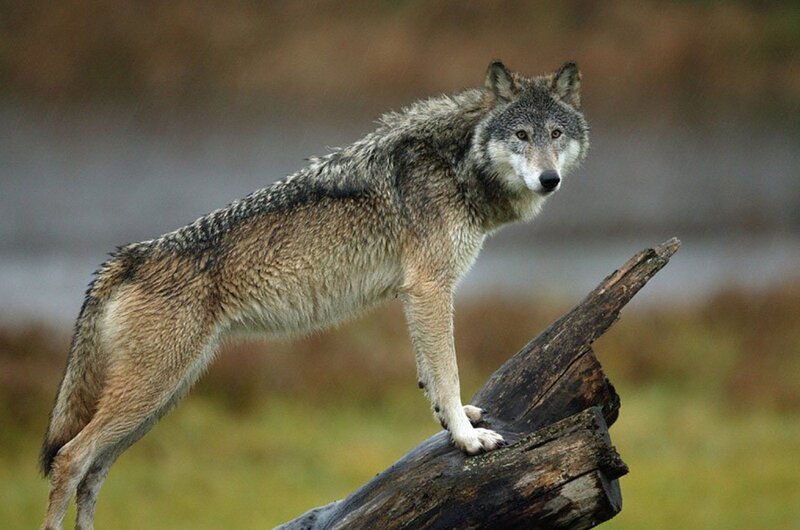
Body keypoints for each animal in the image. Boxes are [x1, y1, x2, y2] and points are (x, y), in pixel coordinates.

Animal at [40, 60, 588, 529]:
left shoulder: (417, 294)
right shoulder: (430, 287)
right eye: (521, 135)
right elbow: (447, 372)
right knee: (69, 459)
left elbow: (430, 375)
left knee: (94, 472)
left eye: (556, 134)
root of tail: (128, 256)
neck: (456, 159)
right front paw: (467, 438)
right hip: (153, 391)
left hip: (162, 399)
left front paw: (455, 422)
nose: (550, 179)